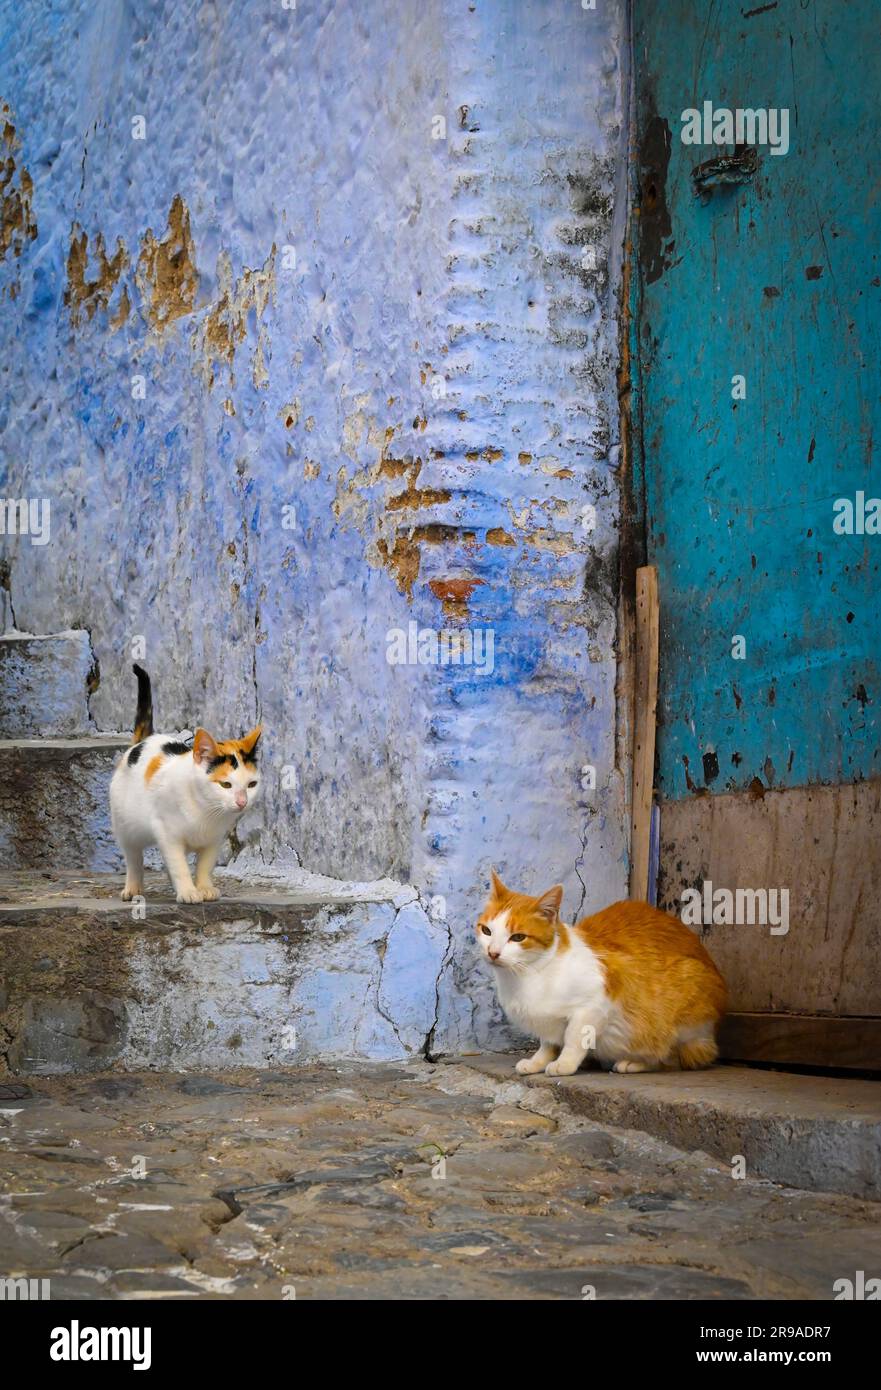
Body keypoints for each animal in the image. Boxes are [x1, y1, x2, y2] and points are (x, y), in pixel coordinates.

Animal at [109, 664, 261, 906]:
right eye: (226, 785)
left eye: (252, 784)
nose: (242, 802)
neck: (205, 809)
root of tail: (144, 741)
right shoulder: (167, 833)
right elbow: (179, 865)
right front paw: (189, 892)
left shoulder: (214, 840)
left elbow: (205, 866)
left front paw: (204, 888)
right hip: (125, 825)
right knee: (133, 857)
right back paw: (133, 888)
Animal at [478, 872, 722, 1078]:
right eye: (486, 931)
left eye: (518, 937)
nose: (493, 953)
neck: (527, 975)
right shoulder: (547, 1020)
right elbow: (548, 1042)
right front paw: (537, 1061)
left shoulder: (595, 1003)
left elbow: (574, 1038)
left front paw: (565, 1063)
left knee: (672, 1056)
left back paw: (636, 1063)